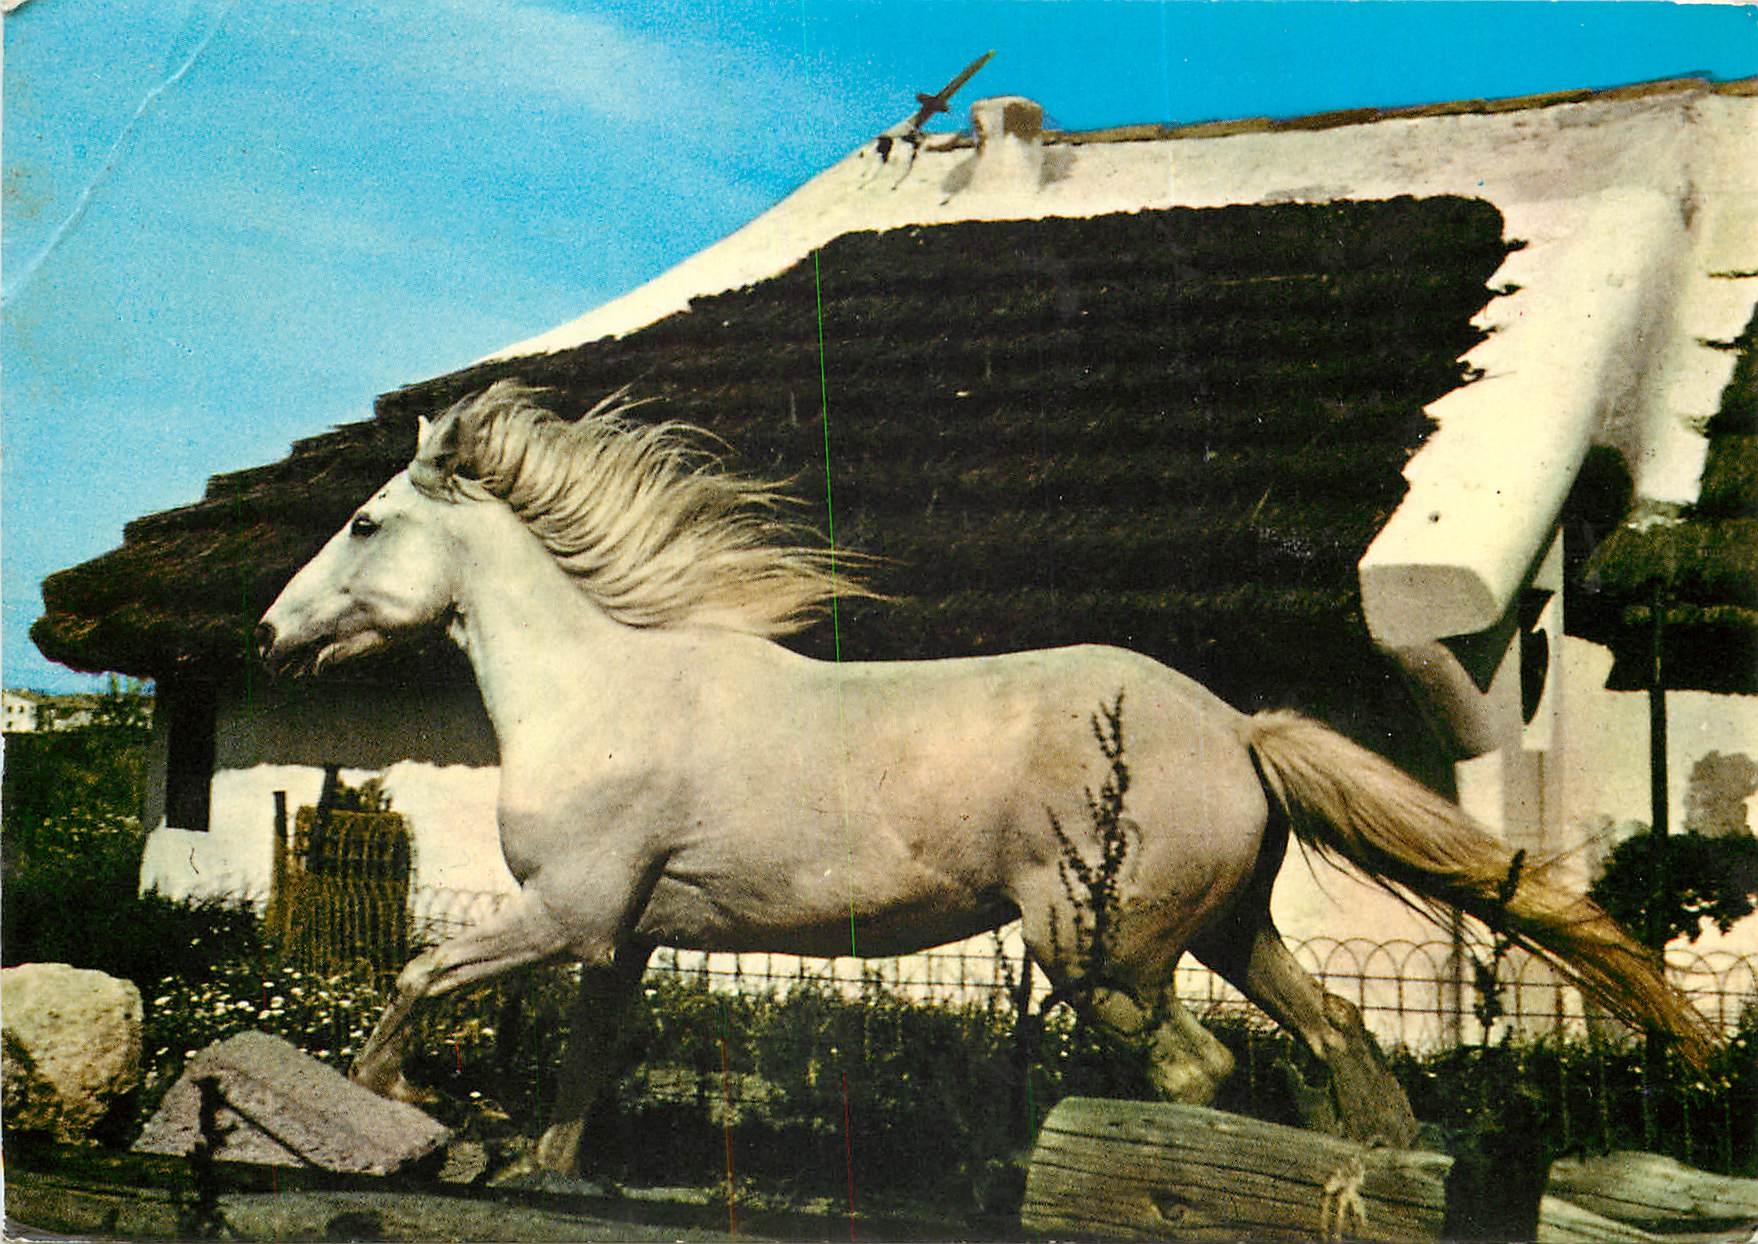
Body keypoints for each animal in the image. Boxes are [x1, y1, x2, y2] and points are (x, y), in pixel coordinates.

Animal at [257, 381, 1710, 1175]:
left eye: (366, 521)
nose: (270, 633)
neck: (598, 690)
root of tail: (1233, 727)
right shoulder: (623, 936)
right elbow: (580, 1065)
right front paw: (537, 1161)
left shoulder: (564, 913)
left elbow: (416, 974)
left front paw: (392, 1104)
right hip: (1229, 934)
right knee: (1340, 1036)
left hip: (1100, 952)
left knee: (1199, 1071)